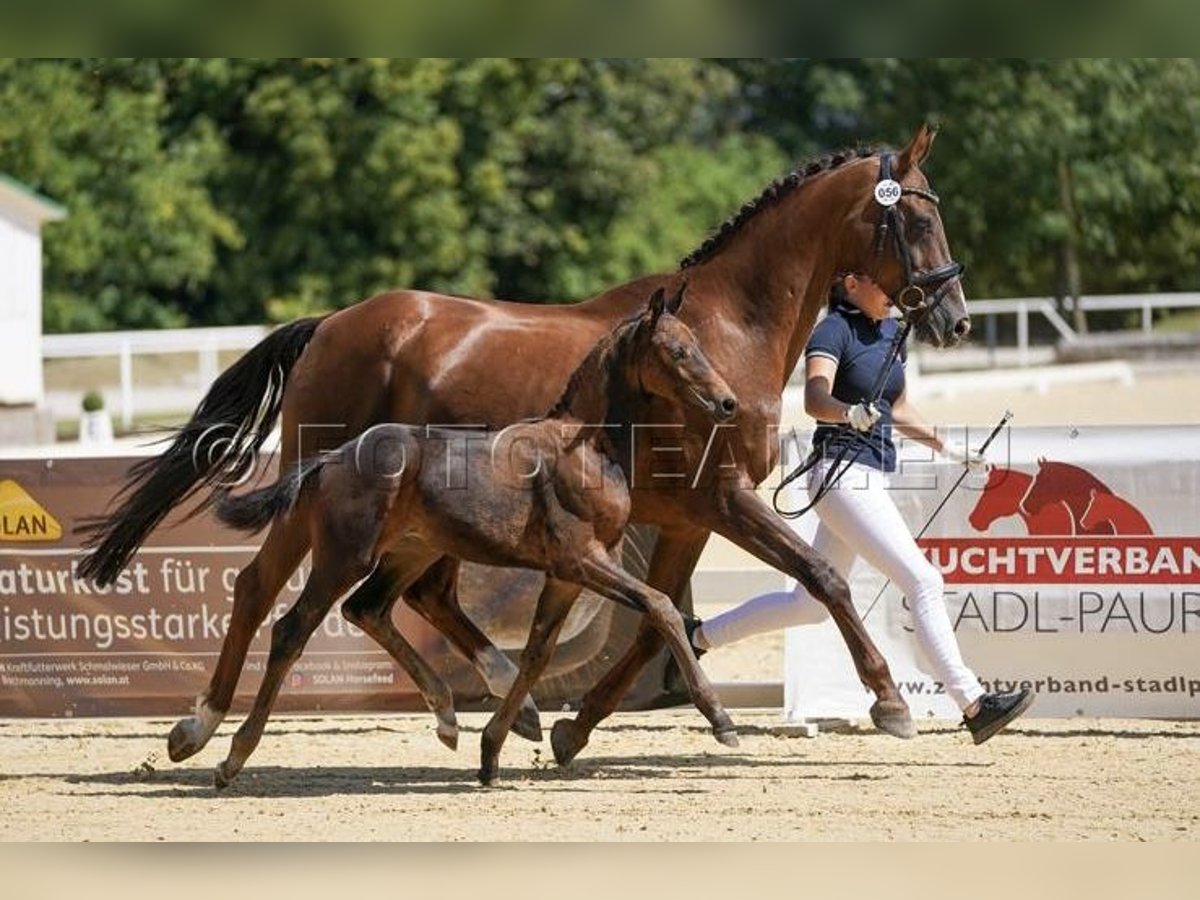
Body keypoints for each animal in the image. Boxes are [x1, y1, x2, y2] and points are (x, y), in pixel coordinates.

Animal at [217, 285, 739, 787]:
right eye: (677, 350)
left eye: (698, 344)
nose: (728, 402)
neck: (584, 447)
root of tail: (335, 456)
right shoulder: (582, 559)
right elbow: (661, 607)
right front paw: (720, 719)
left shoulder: (565, 575)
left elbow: (537, 654)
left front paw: (491, 752)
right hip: (345, 555)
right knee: (290, 627)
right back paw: (230, 755)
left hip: (412, 551)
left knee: (366, 607)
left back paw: (447, 718)